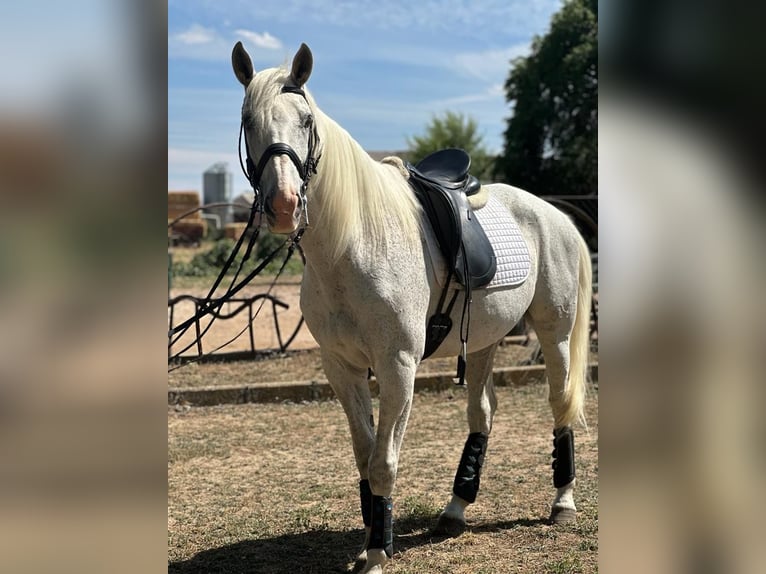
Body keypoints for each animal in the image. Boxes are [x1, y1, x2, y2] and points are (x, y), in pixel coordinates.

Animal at [232, 42, 592, 572]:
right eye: (247, 120)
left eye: (306, 119)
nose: (283, 204)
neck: (352, 244)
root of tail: (556, 215)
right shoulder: (341, 367)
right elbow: (364, 457)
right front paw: (370, 541)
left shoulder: (398, 366)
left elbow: (384, 461)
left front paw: (378, 552)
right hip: (482, 342)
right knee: (482, 414)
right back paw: (456, 508)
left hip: (555, 334)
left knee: (560, 404)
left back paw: (562, 502)